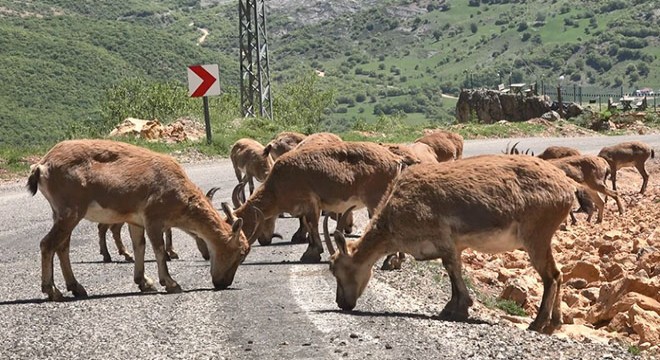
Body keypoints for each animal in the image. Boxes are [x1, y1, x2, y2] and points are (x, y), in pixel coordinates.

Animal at [27, 139, 253, 300]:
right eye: (240, 253)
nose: (222, 283)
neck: (177, 189)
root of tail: (42, 166)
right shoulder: (153, 217)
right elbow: (159, 249)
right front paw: (171, 283)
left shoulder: (136, 221)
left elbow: (140, 246)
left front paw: (144, 282)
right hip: (70, 212)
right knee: (48, 244)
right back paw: (52, 291)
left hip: (60, 213)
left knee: (62, 246)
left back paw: (76, 288)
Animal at [223, 142, 408, 262]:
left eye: (236, 227)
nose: (263, 240)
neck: (279, 184)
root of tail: (396, 160)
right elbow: (307, 223)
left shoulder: (311, 202)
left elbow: (312, 224)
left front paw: (311, 253)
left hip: (376, 199)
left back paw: (390, 260)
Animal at [328, 156, 576, 334]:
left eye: (337, 269)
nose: (342, 303)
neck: (396, 209)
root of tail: (567, 189)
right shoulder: (453, 245)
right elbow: (453, 270)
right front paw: (453, 306)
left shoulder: (443, 239)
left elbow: (451, 269)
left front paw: (458, 308)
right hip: (543, 237)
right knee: (559, 273)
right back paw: (555, 322)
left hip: (536, 235)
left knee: (551, 276)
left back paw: (537, 323)